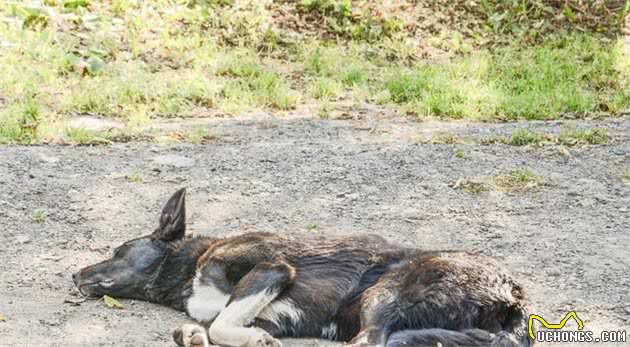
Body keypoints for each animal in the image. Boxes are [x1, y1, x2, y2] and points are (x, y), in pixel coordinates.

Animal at [74, 190, 532, 347]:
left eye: (118, 250)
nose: (74, 275)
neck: (188, 269)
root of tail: (514, 296)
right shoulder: (270, 313)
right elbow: (209, 324)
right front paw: (192, 335)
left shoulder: (272, 269)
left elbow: (220, 324)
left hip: (384, 294)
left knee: (369, 342)